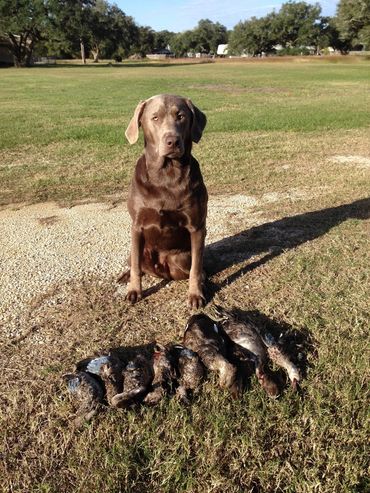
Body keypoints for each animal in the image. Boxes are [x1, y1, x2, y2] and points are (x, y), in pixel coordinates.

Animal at [120, 93, 208, 308]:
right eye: (155, 117)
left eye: (181, 116)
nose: (172, 141)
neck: (166, 174)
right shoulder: (136, 226)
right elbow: (136, 266)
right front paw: (134, 290)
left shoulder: (197, 227)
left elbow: (196, 268)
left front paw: (195, 294)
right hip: (136, 250)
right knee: (135, 261)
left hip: (181, 258)